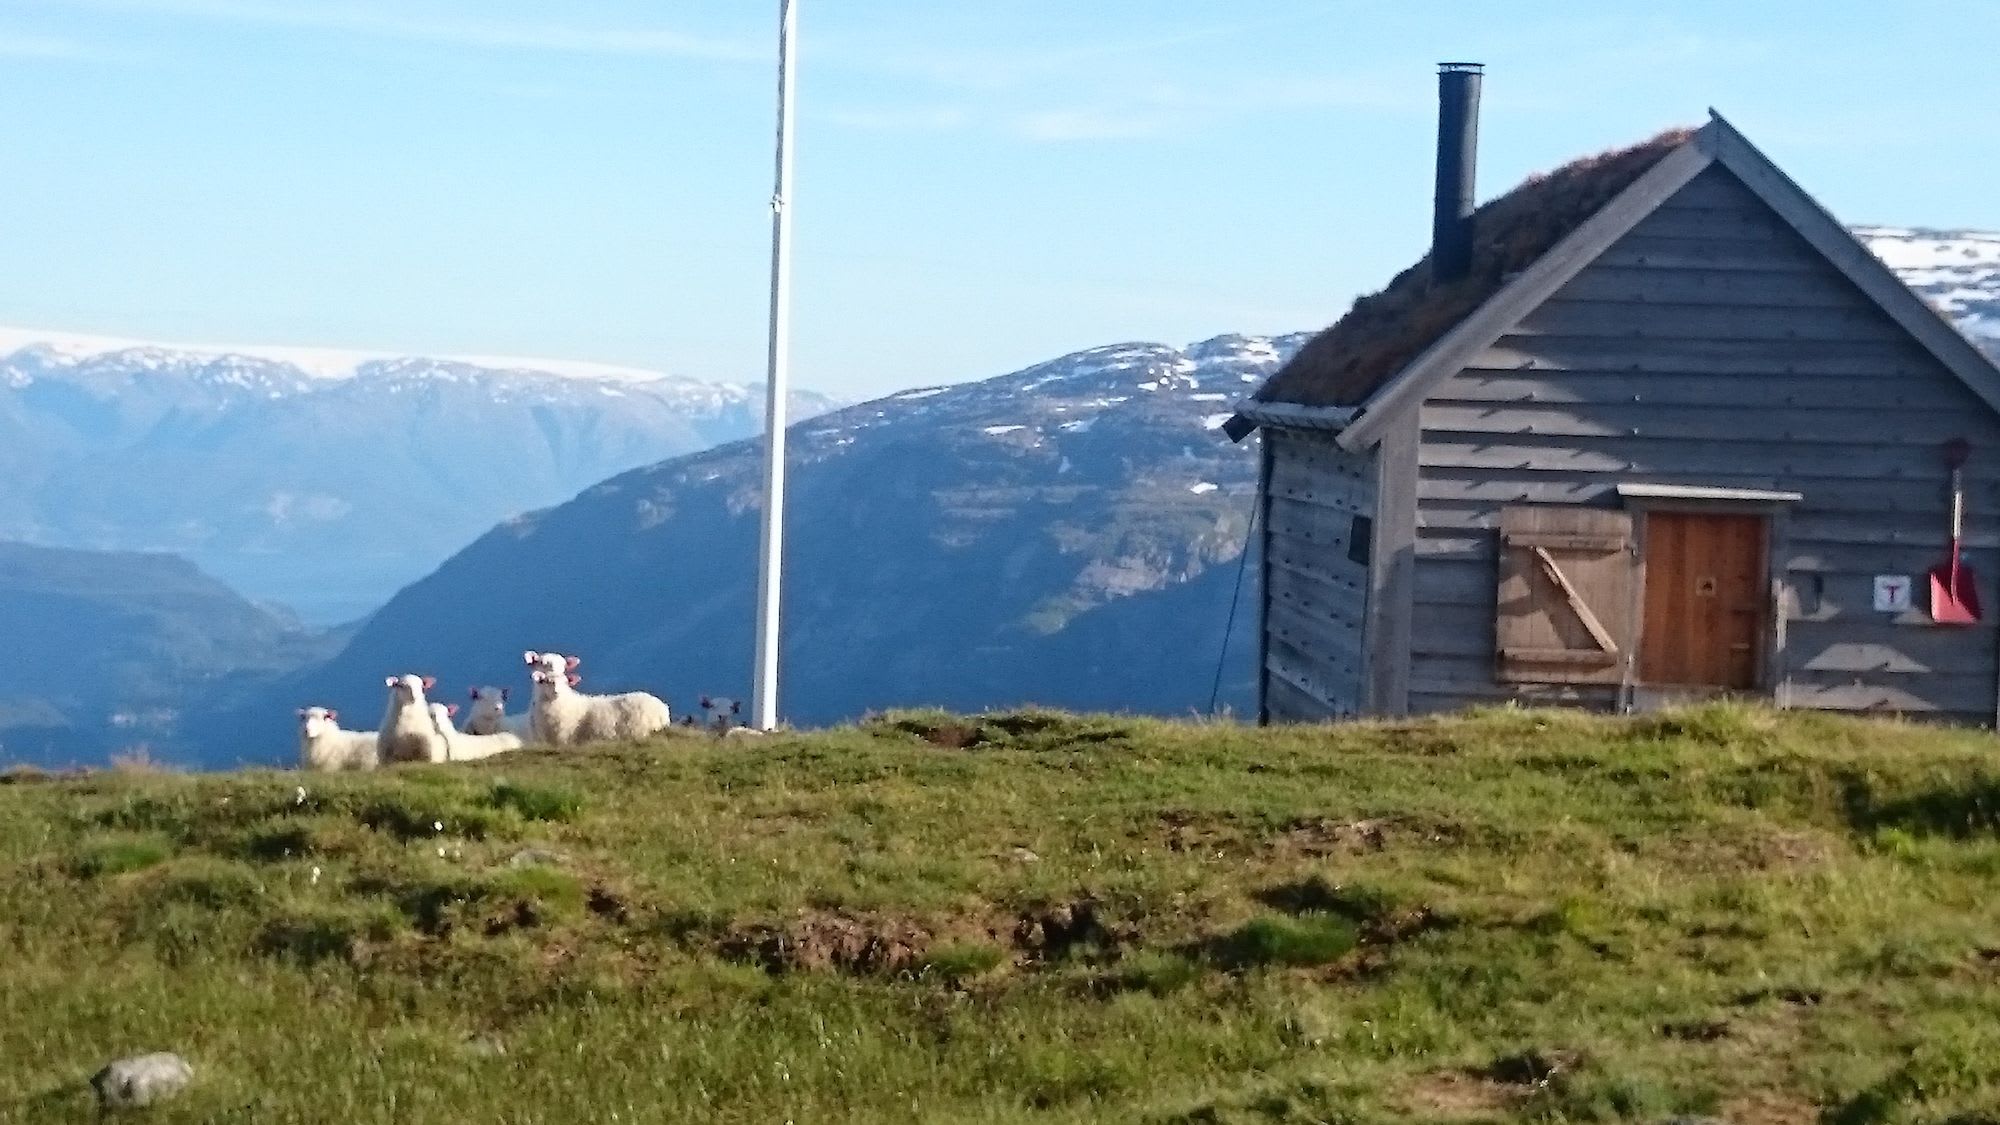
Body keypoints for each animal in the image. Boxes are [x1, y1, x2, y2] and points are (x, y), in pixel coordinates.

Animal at [522, 649, 672, 746]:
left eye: (564, 665)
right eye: (542, 662)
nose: (557, 673)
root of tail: (663, 709)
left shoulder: (564, 738)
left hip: (640, 731)